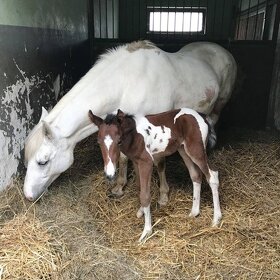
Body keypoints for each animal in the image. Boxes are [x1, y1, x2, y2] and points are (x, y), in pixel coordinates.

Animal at [23, 40, 236, 200]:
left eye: (42, 162)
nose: (28, 195)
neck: (128, 82)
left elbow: (159, 162)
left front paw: (163, 194)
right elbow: (124, 157)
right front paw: (119, 186)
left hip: (220, 104)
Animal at [88, 108, 222, 242]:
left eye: (119, 141)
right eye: (98, 142)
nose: (110, 175)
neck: (134, 136)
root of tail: (202, 116)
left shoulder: (146, 162)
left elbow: (145, 195)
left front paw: (146, 232)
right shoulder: (136, 161)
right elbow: (139, 187)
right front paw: (141, 211)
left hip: (196, 150)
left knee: (212, 176)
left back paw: (216, 219)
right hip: (183, 150)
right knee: (196, 175)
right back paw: (194, 212)